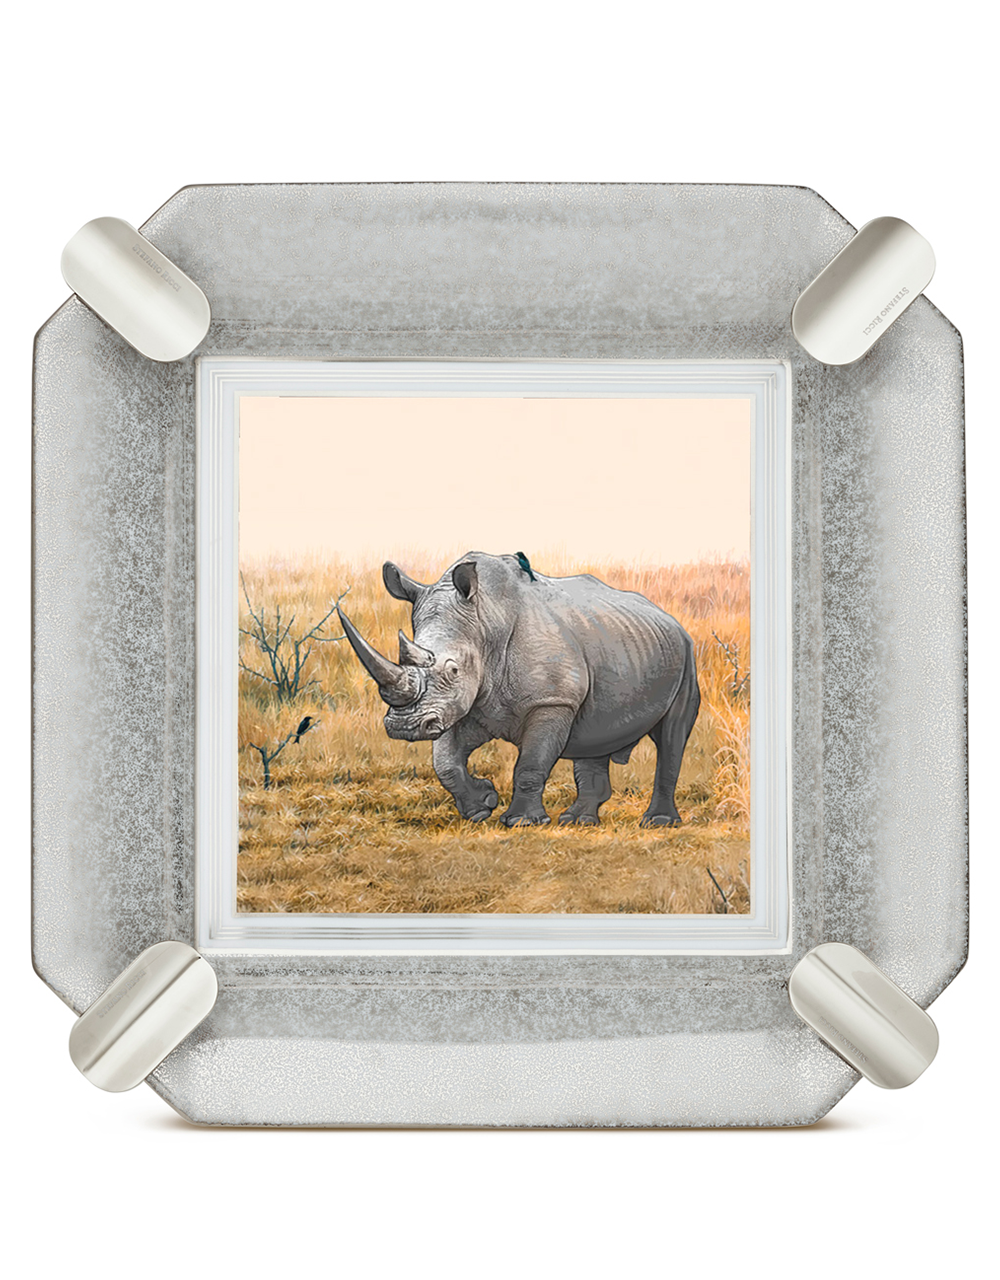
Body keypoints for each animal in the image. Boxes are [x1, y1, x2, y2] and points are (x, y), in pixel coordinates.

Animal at [337, 553, 700, 827]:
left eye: (453, 669)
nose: (405, 727)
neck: (485, 620)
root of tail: (670, 617)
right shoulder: (464, 702)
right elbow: (445, 762)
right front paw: (481, 806)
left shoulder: (552, 702)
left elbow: (529, 765)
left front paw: (521, 822)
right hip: (616, 644)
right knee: (597, 730)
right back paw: (578, 820)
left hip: (686, 655)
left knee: (671, 735)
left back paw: (657, 823)